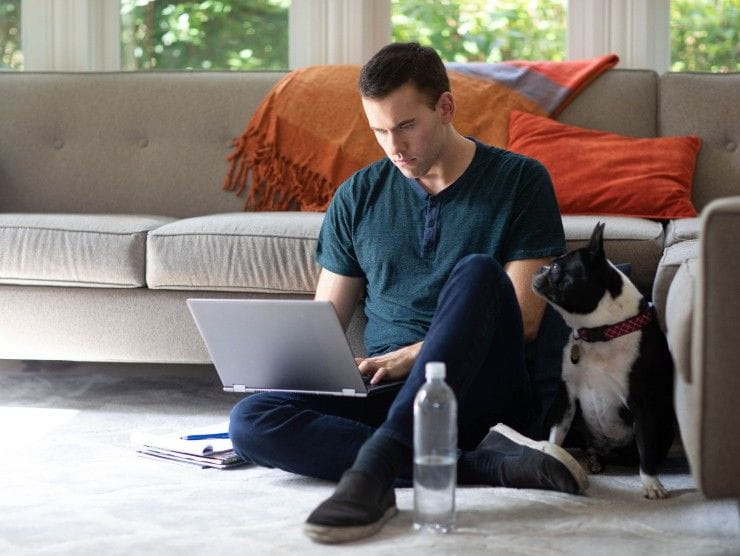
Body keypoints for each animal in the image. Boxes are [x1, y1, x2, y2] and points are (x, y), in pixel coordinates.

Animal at [532, 223, 676, 500]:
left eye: (556, 268)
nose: (540, 269)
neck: (600, 332)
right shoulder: (566, 397)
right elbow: (557, 434)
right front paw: (554, 458)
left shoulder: (643, 403)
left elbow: (646, 447)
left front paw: (651, 483)